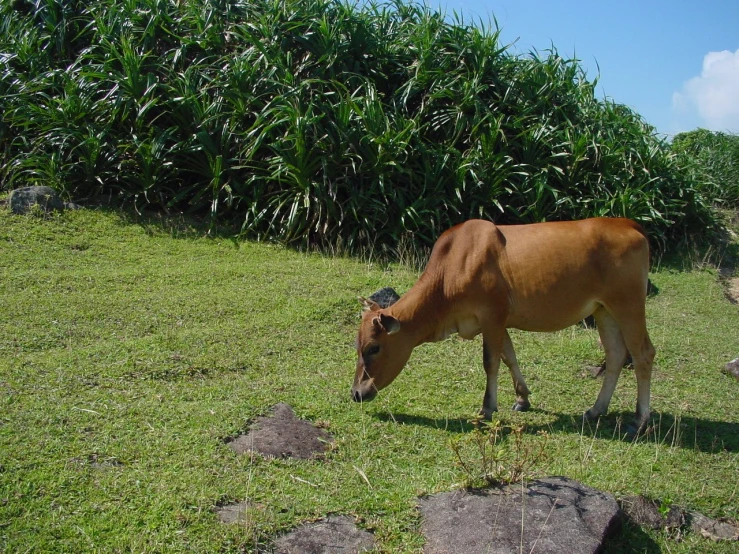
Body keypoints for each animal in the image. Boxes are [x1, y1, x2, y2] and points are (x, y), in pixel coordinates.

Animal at [354, 218, 660, 434]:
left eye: (373, 348)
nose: (356, 392)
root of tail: (628, 223)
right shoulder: (496, 322)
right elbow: (509, 356)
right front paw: (522, 398)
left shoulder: (493, 315)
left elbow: (491, 361)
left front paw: (487, 408)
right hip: (603, 310)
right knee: (616, 354)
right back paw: (596, 409)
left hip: (628, 304)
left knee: (643, 353)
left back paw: (639, 420)